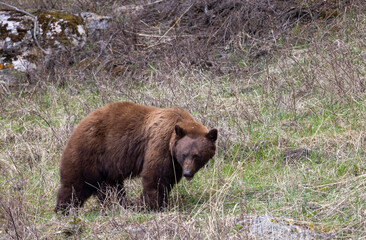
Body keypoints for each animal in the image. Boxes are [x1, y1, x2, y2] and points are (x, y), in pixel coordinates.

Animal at [54, 101, 217, 212]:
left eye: (197, 156)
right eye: (184, 154)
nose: (187, 173)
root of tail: (80, 123)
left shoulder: (174, 162)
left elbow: (168, 178)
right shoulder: (160, 144)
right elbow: (156, 176)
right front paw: (152, 205)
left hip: (108, 164)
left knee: (110, 187)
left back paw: (116, 204)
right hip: (88, 150)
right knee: (76, 182)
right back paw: (64, 208)